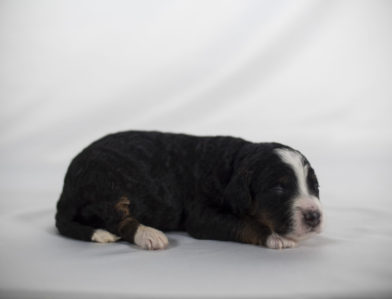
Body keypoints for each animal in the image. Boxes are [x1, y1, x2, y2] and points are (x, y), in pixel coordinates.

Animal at [56, 131, 324, 251]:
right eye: (278, 188)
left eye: (314, 186)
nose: (314, 216)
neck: (232, 167)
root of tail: (66, 188)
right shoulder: (202, 215)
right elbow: (245, 223)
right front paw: (276, 237)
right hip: (107, 182)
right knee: (117, 219)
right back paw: (149, 234)